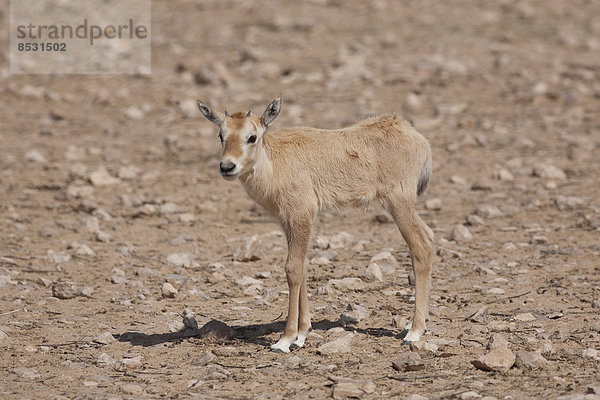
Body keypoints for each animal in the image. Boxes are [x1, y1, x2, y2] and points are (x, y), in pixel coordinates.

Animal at [199, 97, 434, 354]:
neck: (275, 162)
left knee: (421, 247)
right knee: (430, 235)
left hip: (399, 204)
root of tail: (417, 138)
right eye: (221, 135)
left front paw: (285, 339)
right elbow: (302, 268)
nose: (227, 167)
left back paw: (414, 332)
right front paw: (302, 334)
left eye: (252, 136)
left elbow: (292, 270)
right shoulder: (288, 222)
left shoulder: (302, 215)